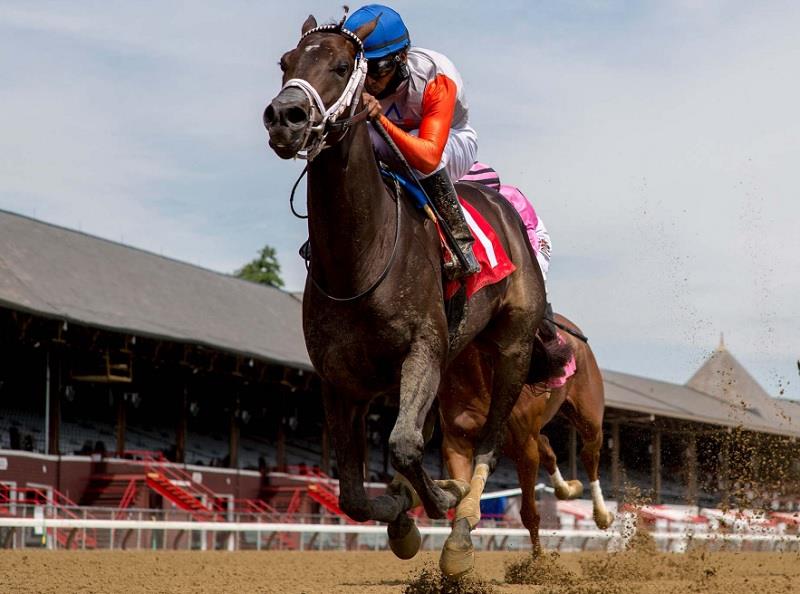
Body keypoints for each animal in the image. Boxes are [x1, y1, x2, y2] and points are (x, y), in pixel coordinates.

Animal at [264, 15, 565, 573]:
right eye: (285, 63)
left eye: (343, 65)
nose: (284, 116)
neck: (360, 259)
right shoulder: (340, 380)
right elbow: (353, 493)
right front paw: (402, 518)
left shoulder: (422, 349)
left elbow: (403, 446)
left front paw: (443, 496)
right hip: (456, 360)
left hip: (513, 348)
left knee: (489, 444)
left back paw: (462, 532)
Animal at [439, 314, 613, 561]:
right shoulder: (457, 440)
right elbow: (463, 496)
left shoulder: (524, 447)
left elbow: (530, 512)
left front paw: (539, 560)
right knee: (548, 447)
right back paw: (568, 488)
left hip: (589, 416)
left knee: (589, 454)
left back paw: (602, 514)